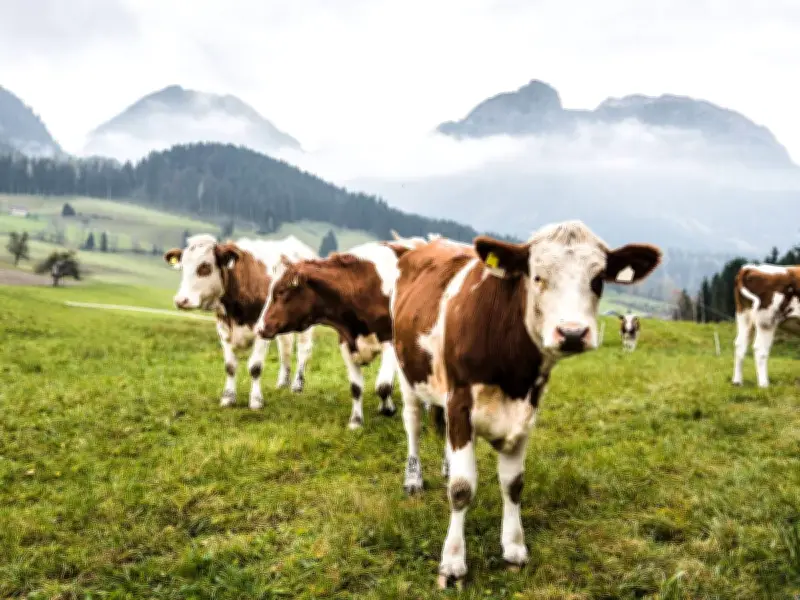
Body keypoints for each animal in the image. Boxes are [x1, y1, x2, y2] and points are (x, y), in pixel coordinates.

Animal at [163, 234, 318, 409]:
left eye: (205, 267)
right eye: (182, 266)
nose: (180, 300)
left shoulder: (261, 331)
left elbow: (255, 367)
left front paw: (256, 400)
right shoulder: (224, 329)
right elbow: (230, 366)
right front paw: (228, 398)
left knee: (303, 350)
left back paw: (297, 386)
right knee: (285, 347)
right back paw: (283, 383)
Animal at [254, 239, 430, 429]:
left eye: (281, 292)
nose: (260, 328)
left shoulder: (389, 341)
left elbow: (383, 385)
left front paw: (387, 408)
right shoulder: (345, 342)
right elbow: (356, 387)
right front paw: (356, 421)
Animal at [388, 220, 662, 588]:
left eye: (598, 279)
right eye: (537, 276)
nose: (572, 333)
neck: (511, 370)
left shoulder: (526, 408)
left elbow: (513, 483)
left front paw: (514, 548)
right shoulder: (460, 401)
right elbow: (462, 488)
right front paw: (453, 562)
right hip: (407, 373)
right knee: (414, 423)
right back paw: (414, 479)